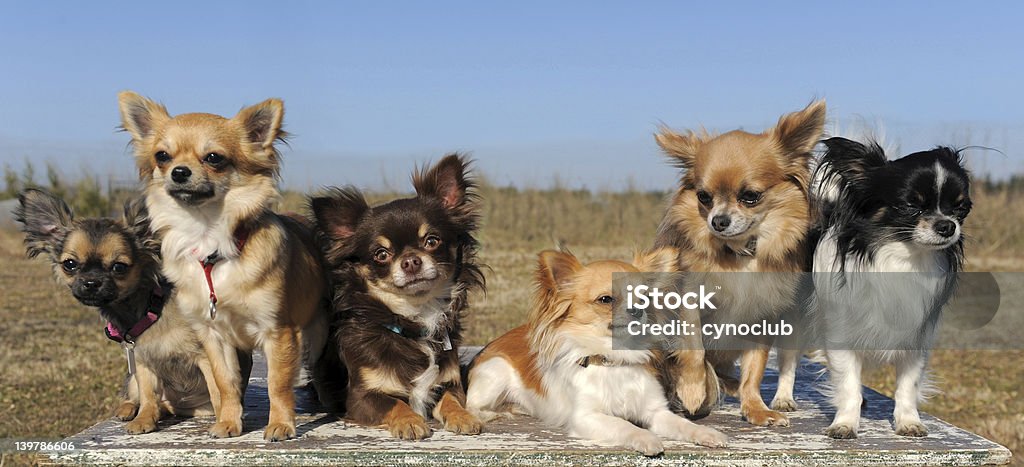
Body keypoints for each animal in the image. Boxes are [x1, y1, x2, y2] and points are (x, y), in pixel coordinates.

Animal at [16, 188, 251, 434]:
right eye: (69, 264)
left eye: (119, 267)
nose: (91, 282)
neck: (148, 309)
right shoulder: (142, 362)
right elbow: (148, 395)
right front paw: (144, 419)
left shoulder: (205, 357)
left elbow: (218, 391)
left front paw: (224, 419)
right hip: (131, 377)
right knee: (141, 396)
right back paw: (128, 409)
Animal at [311, 153, 483, 438]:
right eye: (381, 254)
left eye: (432, 241)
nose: (411, 261)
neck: (414, 317)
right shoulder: (361, 397)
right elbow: (394, 403)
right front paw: (409, 421)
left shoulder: (448, 383)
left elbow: (452, 399)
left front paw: (463, 416)